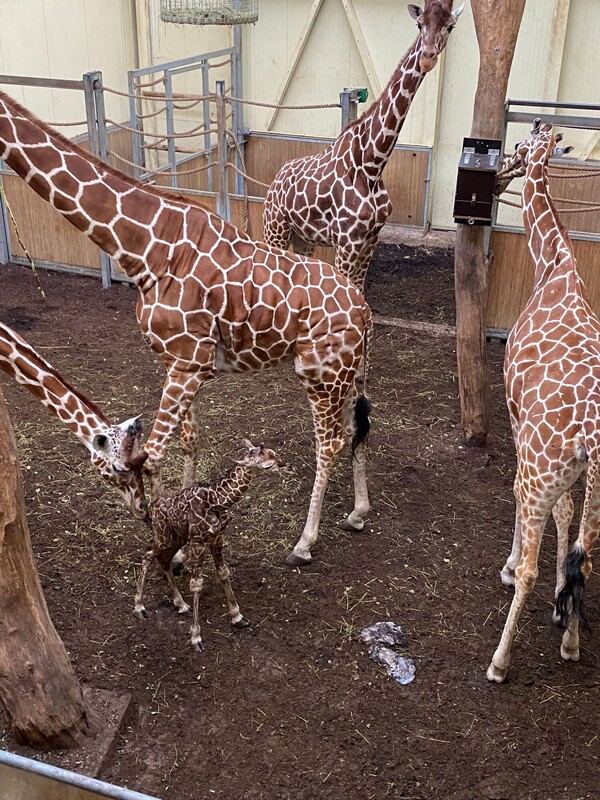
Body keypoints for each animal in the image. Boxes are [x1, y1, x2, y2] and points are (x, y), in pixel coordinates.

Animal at [134, 440, 288, 652]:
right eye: (266, 464)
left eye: (274, 453)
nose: (284, 465)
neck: (217, 502)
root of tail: (152, 509)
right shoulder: (199, 542)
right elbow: (197, 584)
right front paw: (196, 637)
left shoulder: (217, 539)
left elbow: (223, 572)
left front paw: (237, 617)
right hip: (163, 535)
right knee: (148, 555)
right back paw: (139, 607)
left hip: (177, 538)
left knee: (163, 559)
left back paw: (181, 605)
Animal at [262, 0, 464, 290]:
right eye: (419, 24)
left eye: (450, 26)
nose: (427, 57)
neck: (372, 165)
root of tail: (274, 182)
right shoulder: (348, 243)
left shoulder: (370, 241)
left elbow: (359, 293)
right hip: (276, 228)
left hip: (303, 238)